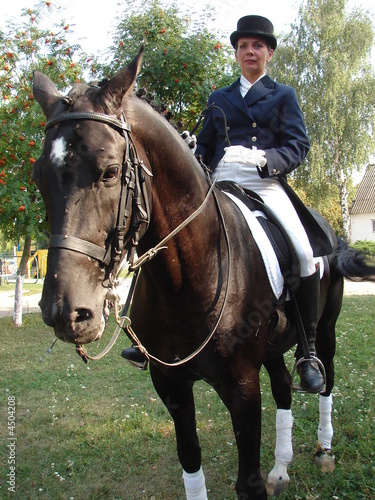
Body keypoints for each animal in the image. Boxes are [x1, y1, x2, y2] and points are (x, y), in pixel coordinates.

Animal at [33, 47, 375, 500]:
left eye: (109, 171)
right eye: (39, 177)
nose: (66, 312)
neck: (187, 277)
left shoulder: (243, 389)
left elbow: (248, 483)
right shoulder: (170, 384)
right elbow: (190, 457)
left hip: (328, 331)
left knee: (326, 379)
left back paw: (324, 449)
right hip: (272, 348)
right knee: (284, 386)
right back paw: (281, 468)